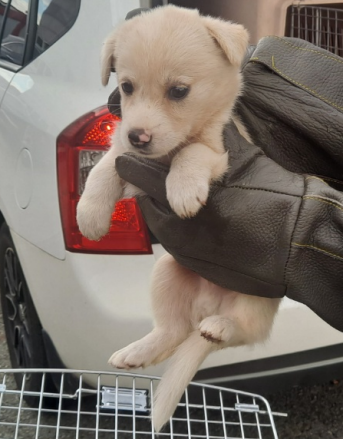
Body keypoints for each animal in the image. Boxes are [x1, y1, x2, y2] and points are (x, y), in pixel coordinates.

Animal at [76, 6, 280, 434]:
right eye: (127, 87)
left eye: (179, 91)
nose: (139, 136)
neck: (161, 158)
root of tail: (208, 305)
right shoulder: (125, 154)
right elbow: (106, 166)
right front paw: (90, 214)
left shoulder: (221, 150)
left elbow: (193, 152)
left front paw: (184, 189)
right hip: (167, 274)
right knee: (173, 330)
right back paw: (136, 351)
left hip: (254, 295)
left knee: (241, 332)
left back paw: (218, 326)